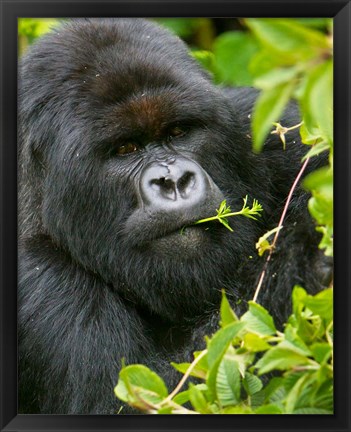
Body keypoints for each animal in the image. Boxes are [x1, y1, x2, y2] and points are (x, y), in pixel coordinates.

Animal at [18, 18, 332, 414]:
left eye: (178, 131)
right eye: (125, 149)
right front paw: (306, 255)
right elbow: (149, 395)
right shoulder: (39, 280)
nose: (174, 181)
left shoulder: (264, 130)